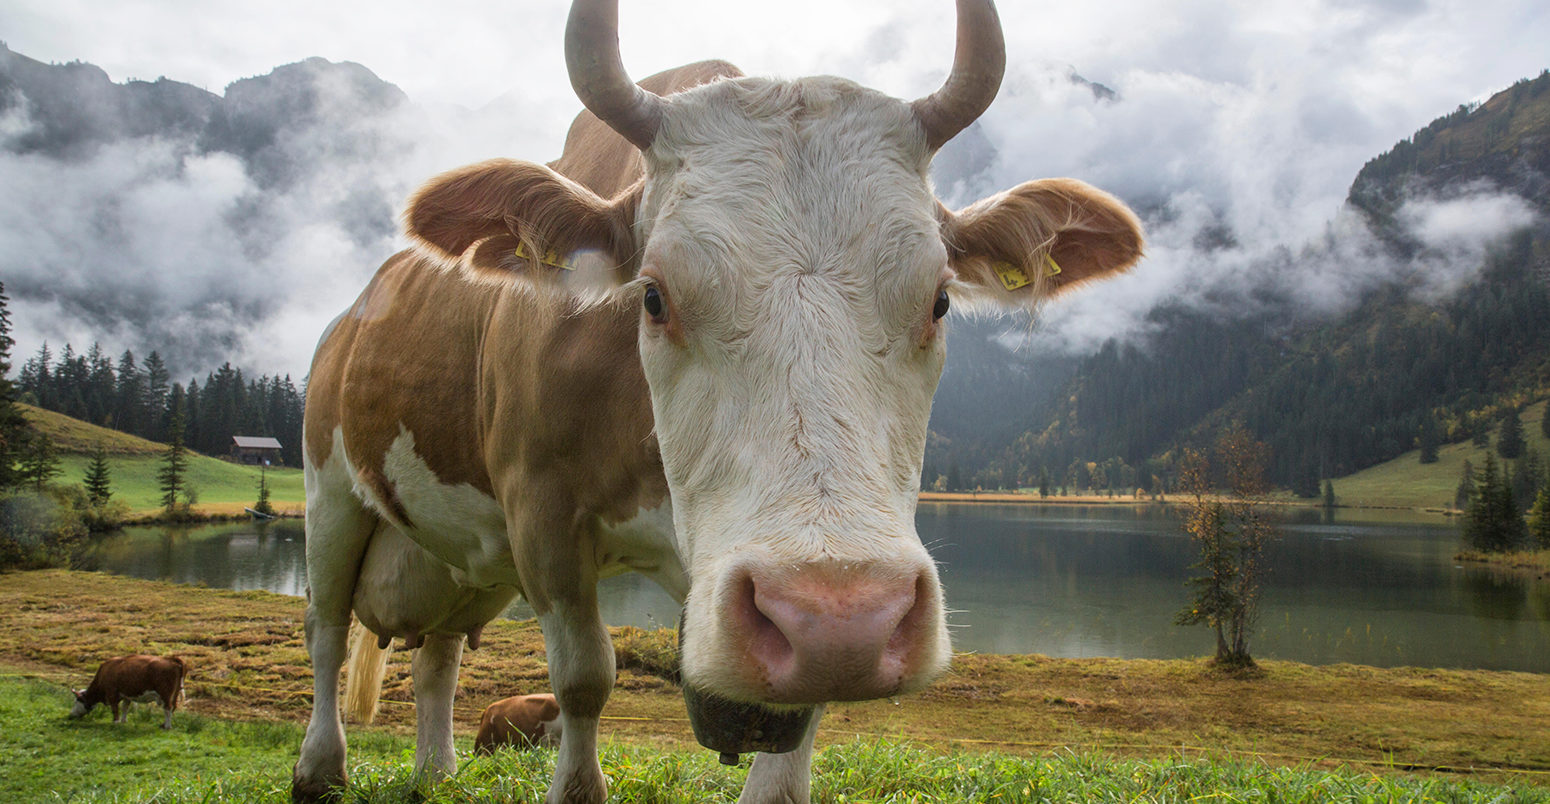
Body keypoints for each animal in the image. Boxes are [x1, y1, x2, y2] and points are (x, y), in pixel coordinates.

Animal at [292, 1, 1140, 804]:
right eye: (653, 296)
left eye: (938, 301)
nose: (840, 619)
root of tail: (354, 312)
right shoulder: (542, 514)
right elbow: (584, 681)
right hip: (328, 492)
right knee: (326, 630)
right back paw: (320, 768)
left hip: (471, 567)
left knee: (437, 656)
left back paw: (435, 772)